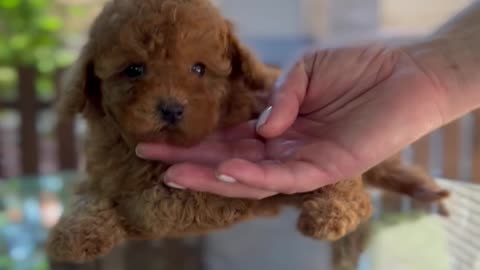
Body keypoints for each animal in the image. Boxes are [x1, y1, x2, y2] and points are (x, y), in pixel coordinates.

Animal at [45, 0, 450, 262]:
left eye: (198, 69)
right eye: (133, 70)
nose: (172, 108)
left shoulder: (221, 193)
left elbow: (161, 203)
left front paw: (131, 213)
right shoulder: (98, 174)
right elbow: (87, 199)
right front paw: (73, 235)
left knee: (355, 193)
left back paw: (330, 214)